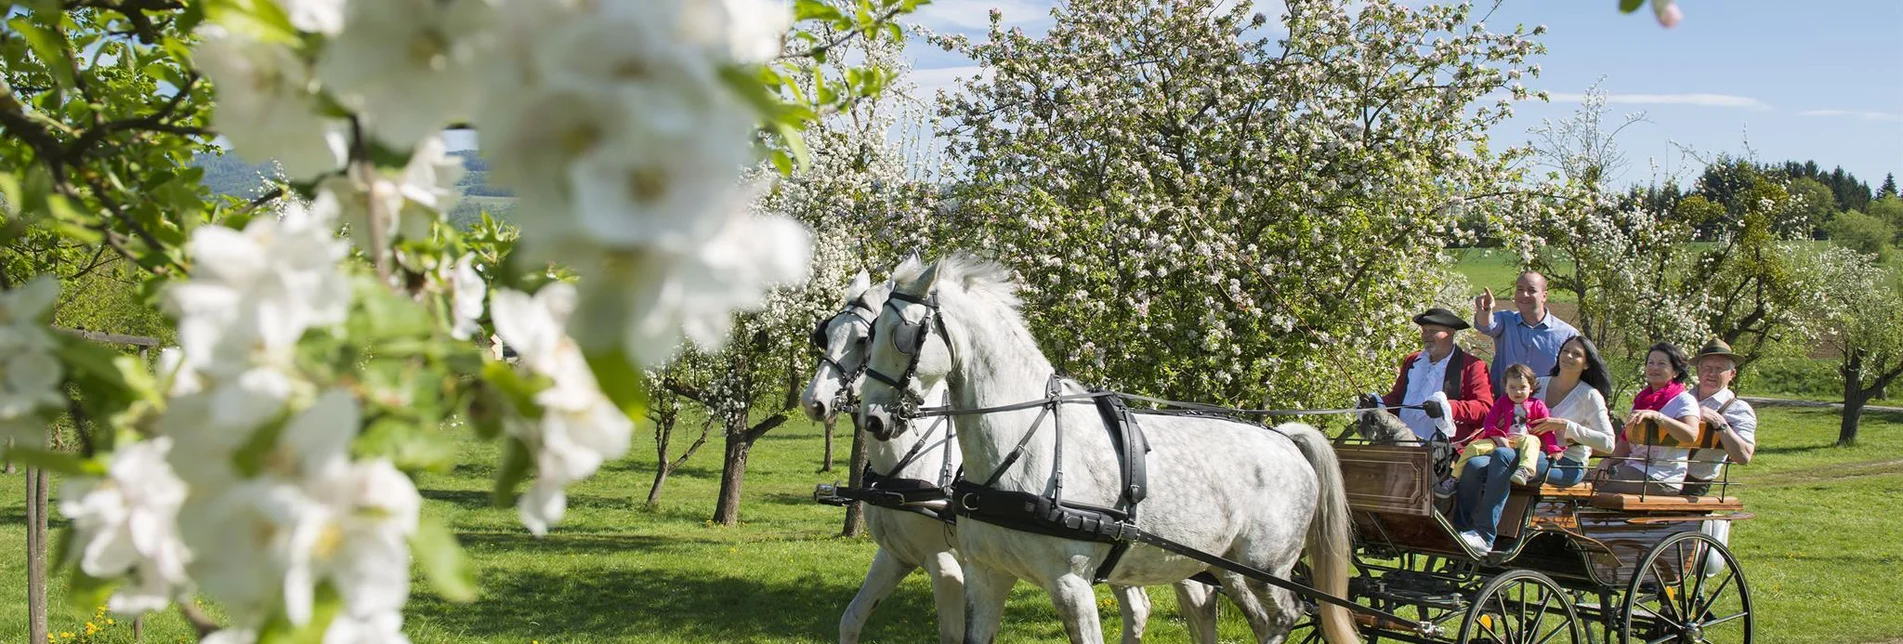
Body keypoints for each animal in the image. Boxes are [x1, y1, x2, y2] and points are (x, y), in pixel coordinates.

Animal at [799, 262, 1202, 644]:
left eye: (864, 338)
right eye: (825, 334)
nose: (813, 402)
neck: (909, 464)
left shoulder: (945, 563)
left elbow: (951, 634)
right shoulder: (896, 556)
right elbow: (851, 620)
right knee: (1139, 606)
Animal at [856, 255, 1362, 644]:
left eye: (903, 333)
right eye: (870, 334)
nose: (873, 419)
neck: (1028, 445)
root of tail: (1286, 440)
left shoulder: (1071, 585)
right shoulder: (986, 576)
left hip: (1264, 567)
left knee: (1286, 615)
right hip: (1226, 569)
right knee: (1254, 619)